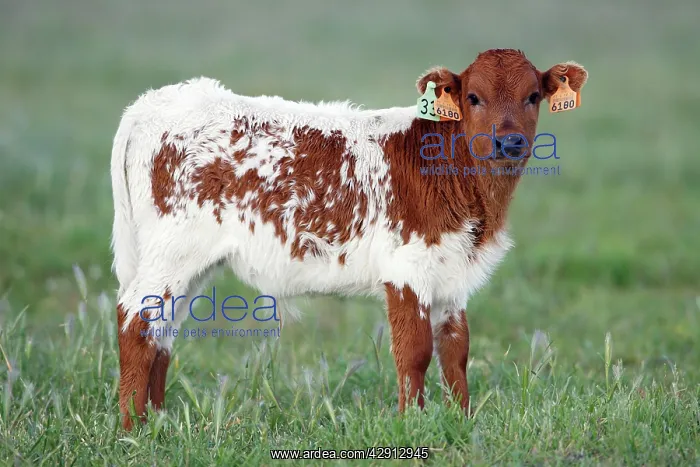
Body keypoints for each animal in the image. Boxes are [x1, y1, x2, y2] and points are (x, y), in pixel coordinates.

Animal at [111, 48, 587, 430]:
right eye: (474, 97)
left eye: (532, 96)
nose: (510, 142)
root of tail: (155, 102)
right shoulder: (407, 269)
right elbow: (415, 352)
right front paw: (412, 424)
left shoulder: (453, 274)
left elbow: (456, 350)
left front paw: (462, 421)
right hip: (172, 252)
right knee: (136, 319)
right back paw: (134, 427)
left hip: (189, 264)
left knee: (163, 330)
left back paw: (158, 420)